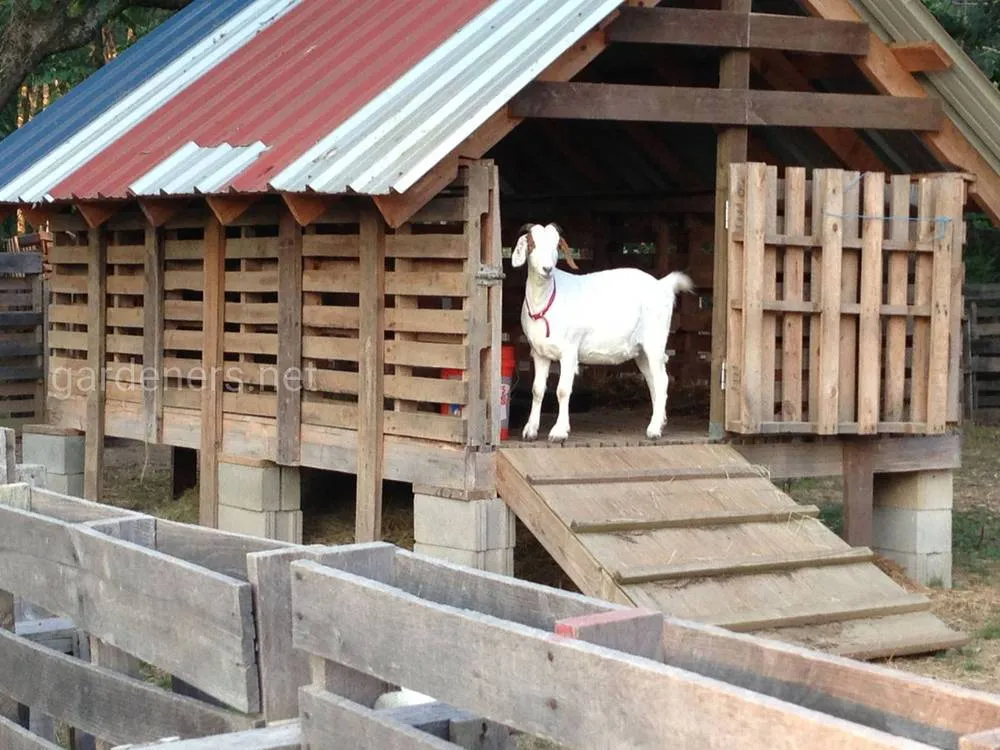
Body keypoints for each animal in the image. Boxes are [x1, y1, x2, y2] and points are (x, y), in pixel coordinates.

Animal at [512, 226, 692, 444]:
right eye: (532, 244)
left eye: (556, 245)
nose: (547, 269)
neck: (547, 300)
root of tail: (662, 285)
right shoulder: (539, 353)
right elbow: (537, 390)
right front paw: (530, 430)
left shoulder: (569, 351)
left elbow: (562, 390)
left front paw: (559, 432)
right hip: (641, 351)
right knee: (652, 382)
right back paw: (659, 422)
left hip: (655, 341)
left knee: (662, 380)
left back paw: (655, 429)